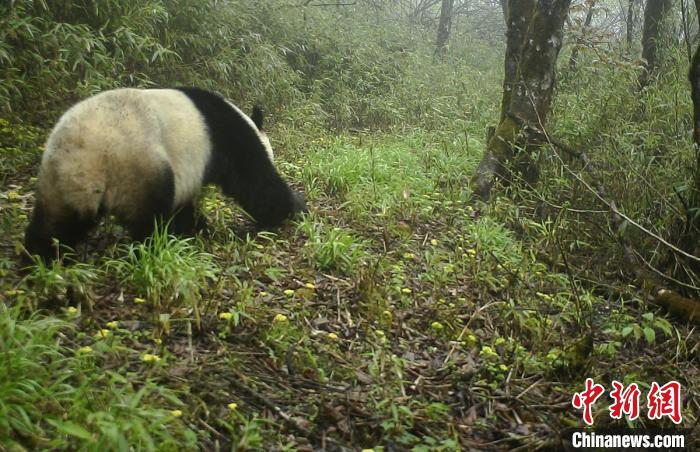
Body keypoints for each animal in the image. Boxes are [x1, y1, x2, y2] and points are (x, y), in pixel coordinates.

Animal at [24, 87, 306, 262]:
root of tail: (87, 153)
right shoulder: (228, 140)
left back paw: (40, 258)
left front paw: (197, 227)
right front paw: (293, 209)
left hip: (58, 178)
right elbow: (254, 181)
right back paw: (159, 245)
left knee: (58, 223)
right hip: (140, 164)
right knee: (150, 216)